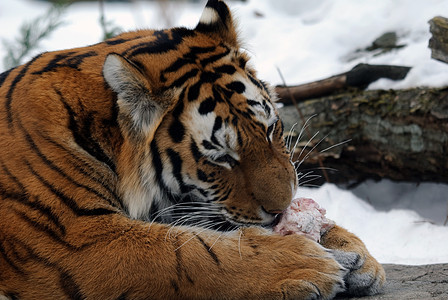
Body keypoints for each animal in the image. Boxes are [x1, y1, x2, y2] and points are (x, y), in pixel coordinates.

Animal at [0, 0, 384, 298]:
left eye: (270, 129)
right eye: (221, 158)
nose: (281, 210)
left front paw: (351, 250)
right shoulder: (76, 238)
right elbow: (189, 255)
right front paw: (307, 263)